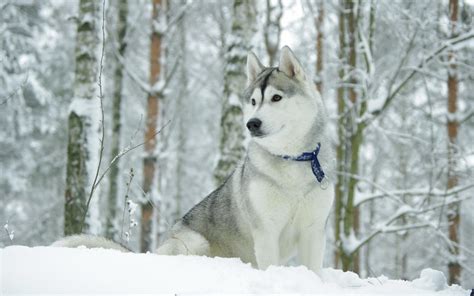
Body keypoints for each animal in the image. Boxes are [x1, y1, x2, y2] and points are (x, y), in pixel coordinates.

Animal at [53, 46, 336, 276]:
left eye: (276, 98)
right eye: (254, 101)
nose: (252, 123)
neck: (293, 161)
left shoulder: (313, 230)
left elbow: (315, 270)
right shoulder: (266, 231)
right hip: (195, 242)